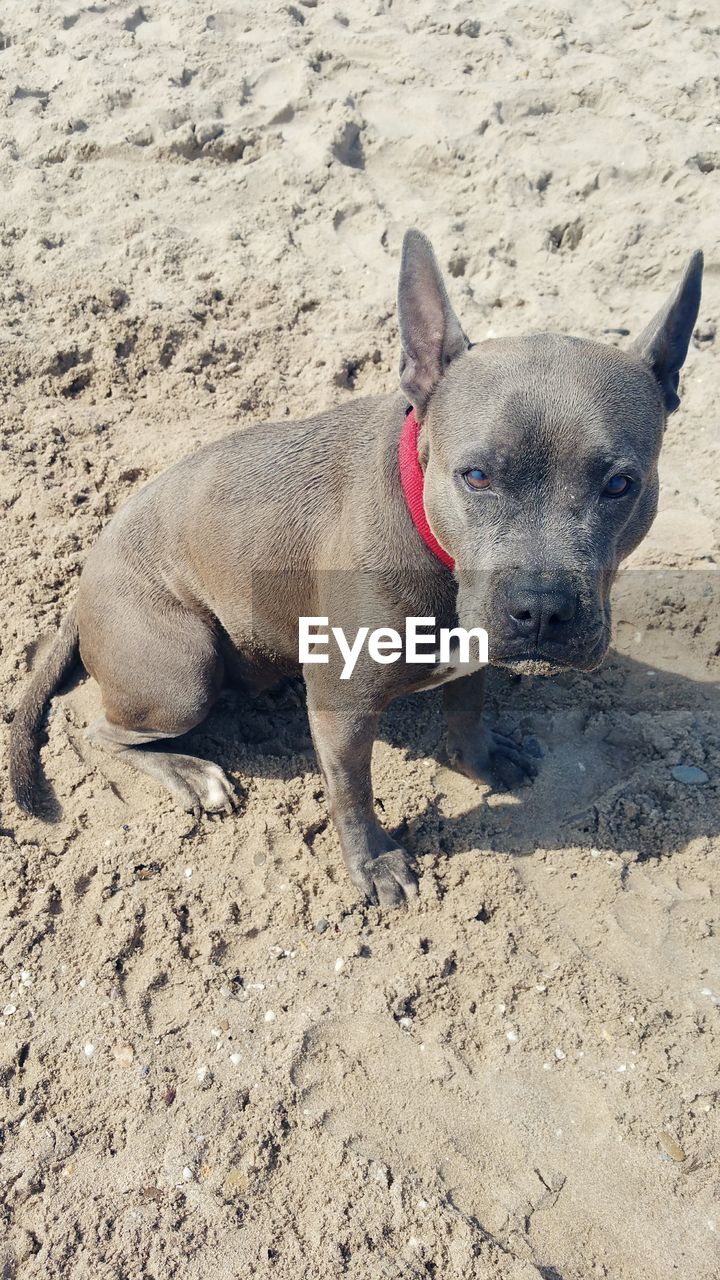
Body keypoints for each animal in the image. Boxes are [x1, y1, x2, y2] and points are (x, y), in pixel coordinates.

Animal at [12, 232, 702, 911]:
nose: (542, 609)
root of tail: (84, 584)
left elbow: (466, 706)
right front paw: (372, 861)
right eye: (476, 475)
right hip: (183, 675)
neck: (430, 536)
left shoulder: (470, 651)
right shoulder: (342, 708)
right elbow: (352, 791)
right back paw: (189, 773)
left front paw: (479, 758)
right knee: (101, 729)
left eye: (620, 484)